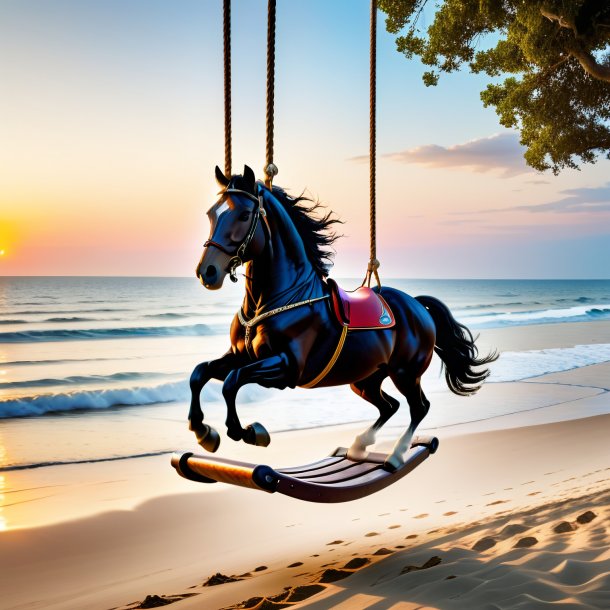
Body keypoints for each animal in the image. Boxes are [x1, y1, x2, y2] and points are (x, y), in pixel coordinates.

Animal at [190, 164, 494, 468]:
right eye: (211, 213)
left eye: (243, 214)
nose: (207, 272)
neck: (280, 298)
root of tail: (416, 305)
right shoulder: (241, 356)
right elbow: (201, 372)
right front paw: (203, 431)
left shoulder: (287, 367)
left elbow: (233, 381)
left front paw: (248, 432)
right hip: (364, 379)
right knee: (390, 406)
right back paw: (359, 446)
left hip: (405, 373)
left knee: (419, 407)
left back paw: (395, 455)